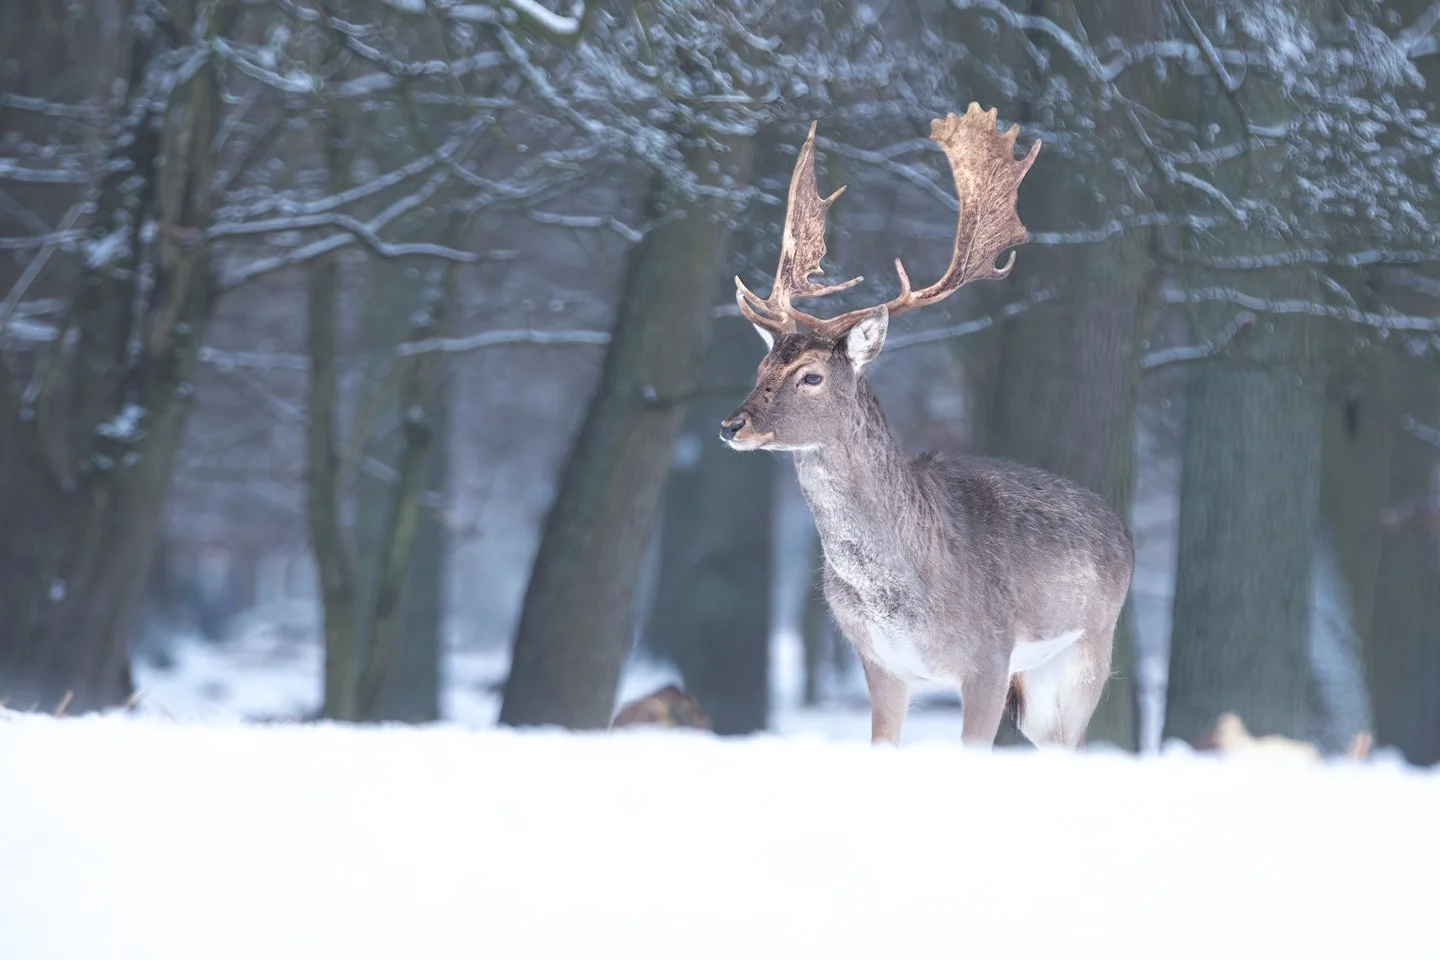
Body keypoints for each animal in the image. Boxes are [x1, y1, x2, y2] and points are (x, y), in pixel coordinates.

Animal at [719, 104, 1135, 750]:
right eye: (762, 366)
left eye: (811, 375)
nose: (732, 424)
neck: (904, 590)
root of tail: (1122, 530)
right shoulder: (878, 659)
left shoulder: (990, 655)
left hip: (1085, 653)